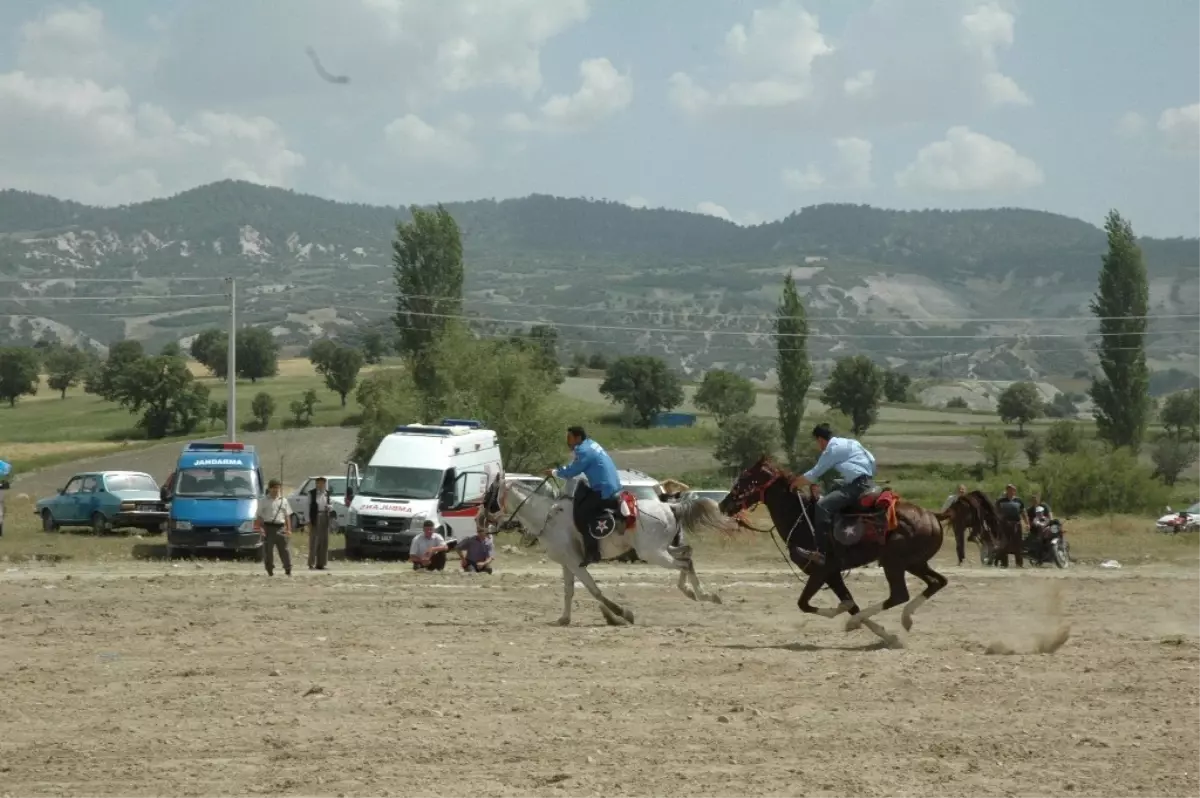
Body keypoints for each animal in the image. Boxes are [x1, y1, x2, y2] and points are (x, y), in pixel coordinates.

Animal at [489, 475, 729, 624]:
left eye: (490, 494)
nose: (484, 520)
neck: (548, 517)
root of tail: (670, 505)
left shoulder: (575, 563)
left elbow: (595, 590)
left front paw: (622, 613)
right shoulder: (567, 563)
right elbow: (568, 591)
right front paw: (564, 619)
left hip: (652, 553)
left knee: (684, 562)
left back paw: (700, 594)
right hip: (662, 548)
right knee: (687, 554)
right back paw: (697, 593)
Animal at [720, 458, 945, 643]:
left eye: (745, 479)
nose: (724, 504)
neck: (802, 519)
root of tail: (932, 516)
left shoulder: (821, 571)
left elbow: (805, 603)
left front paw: (849, 617)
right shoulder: (833, 574)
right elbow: (850, 603)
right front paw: (883, 633)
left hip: (894, 563)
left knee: (899, 595)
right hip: (915, 563)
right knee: (937, 582)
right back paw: (906, 619)